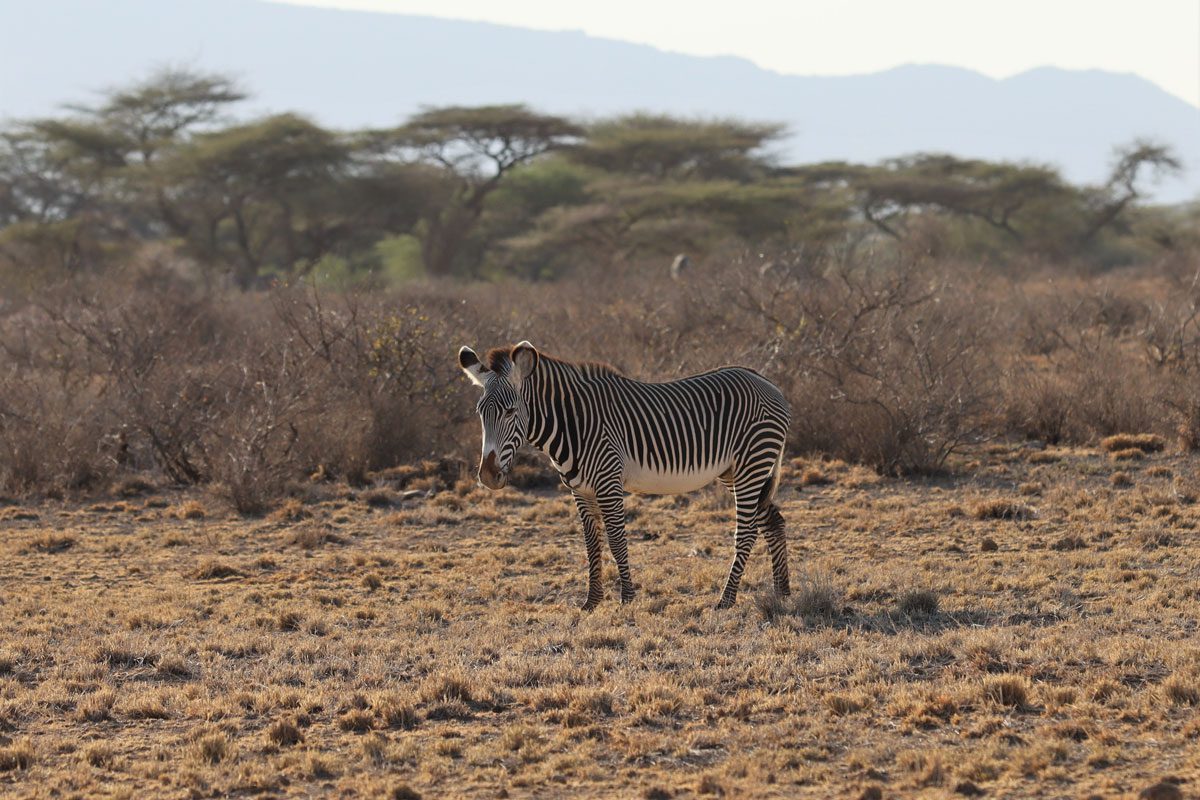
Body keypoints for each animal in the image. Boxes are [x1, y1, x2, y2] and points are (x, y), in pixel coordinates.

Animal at [453, 340, 792, 609]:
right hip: (736, 471)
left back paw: (726, 599)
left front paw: (627, 598)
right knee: (773, 521)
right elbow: (592, 544)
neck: (572, 423)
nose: (488, 476)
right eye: (480, 413)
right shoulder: (581, 490)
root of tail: (769, 383)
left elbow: (616, 540)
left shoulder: (608, 481)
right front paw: (591, 602)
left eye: (510, 412)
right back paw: (782, 591)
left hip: (752, 463)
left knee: (747, 530)